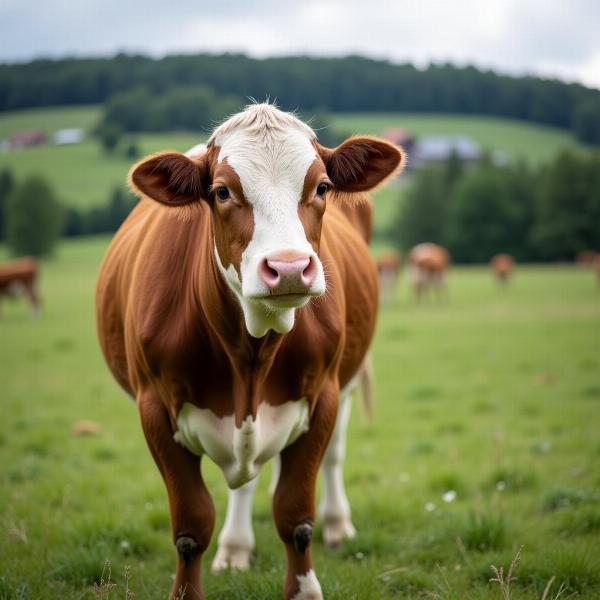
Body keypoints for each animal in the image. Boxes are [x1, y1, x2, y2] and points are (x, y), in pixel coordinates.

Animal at [96, 104, 404, 600]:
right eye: (222, 191)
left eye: (322, 187)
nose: (289, 267)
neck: (250, 352)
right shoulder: (154, 408)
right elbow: (191, 524)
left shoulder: (324, 396)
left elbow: (295, 515)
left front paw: (304, 589)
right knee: (243, 482)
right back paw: (236, 547)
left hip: (348, 380)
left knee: (333, 455)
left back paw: (338, 524)